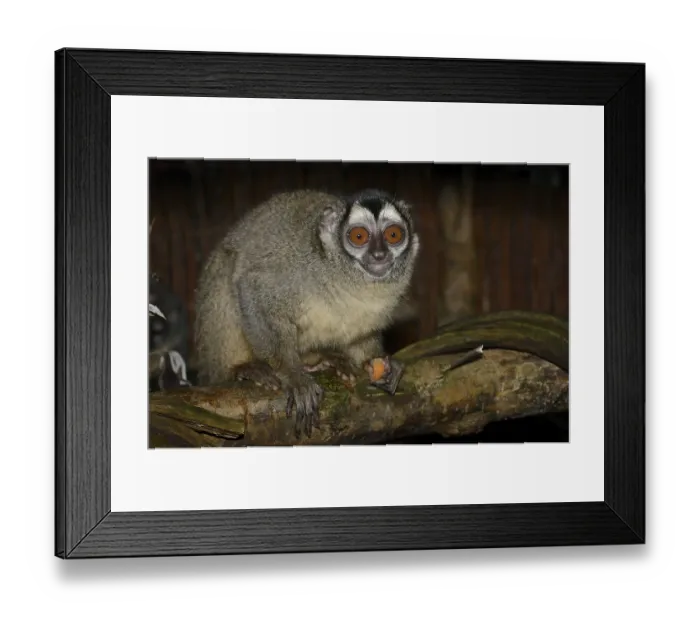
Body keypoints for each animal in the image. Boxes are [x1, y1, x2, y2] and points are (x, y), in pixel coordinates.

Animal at [193, 188, 420, 437]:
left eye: (393, 235)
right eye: (359, 236)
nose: (379, 254)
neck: (349, 279)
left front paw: (377, 362)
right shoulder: (298, 272)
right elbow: (252, 287)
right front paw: (293, 375)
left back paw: (326, 360)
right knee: (227, 268)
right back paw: (243, 369)